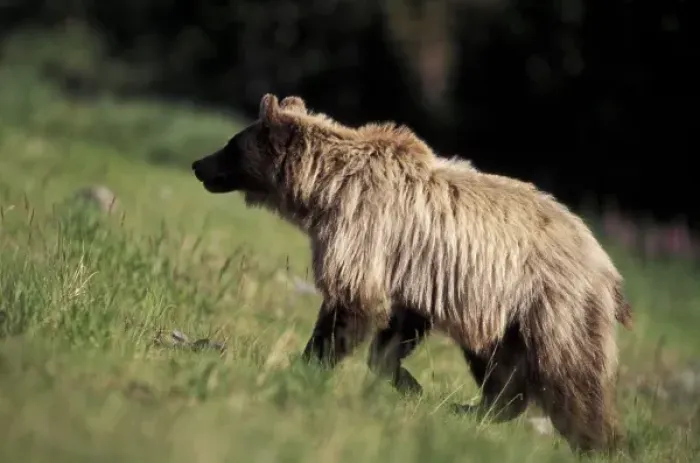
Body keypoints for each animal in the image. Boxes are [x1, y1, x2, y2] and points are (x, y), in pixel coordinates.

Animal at [191, 93, 633, 454]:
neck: (323, 190)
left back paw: (597, 442)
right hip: (502, 313)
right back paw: (472, 409)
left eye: (230, 145)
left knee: (572, 375)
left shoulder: (364, 232)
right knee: (501, 368)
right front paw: (407, 382)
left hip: (552, 304)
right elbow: (395, 331)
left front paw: (308, 365)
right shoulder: (408, 271)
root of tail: (607, 265)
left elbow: (348, 308)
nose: (197, 164)